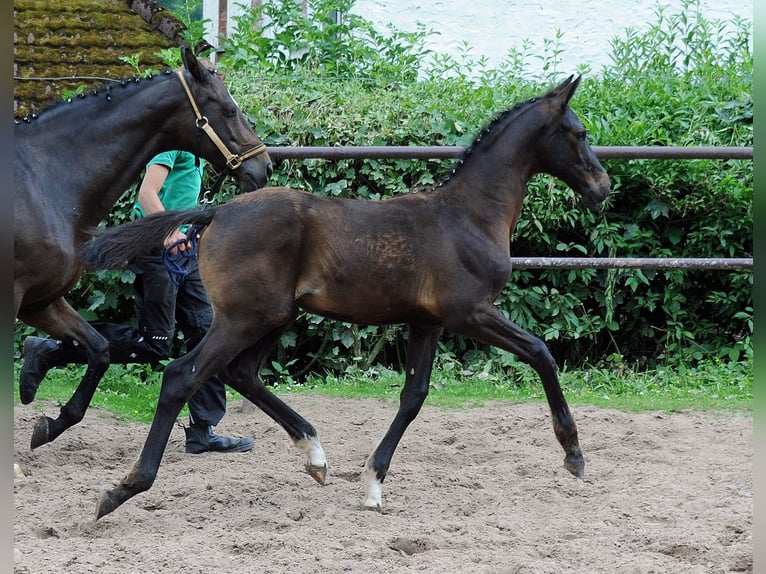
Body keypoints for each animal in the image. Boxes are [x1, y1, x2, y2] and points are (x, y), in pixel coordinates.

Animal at [15, 46, 274, 450]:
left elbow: (101, 349)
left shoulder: (40, 299)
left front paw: (49, 424)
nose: (266, 167)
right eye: (229, 110)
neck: (44, 178)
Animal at [82, 74, 612, 520]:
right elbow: (541, 353)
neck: (469, 215)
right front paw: (574, 454)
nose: (603, 187)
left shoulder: (427, 322)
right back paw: (121, 490)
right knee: (181, 376)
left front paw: (373, 484)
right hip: (244, 318)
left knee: (241, 373)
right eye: (580, 133)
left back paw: (315, 456)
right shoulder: (471, 313)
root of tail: (216, 212)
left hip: (273, 315)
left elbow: (414, 397)